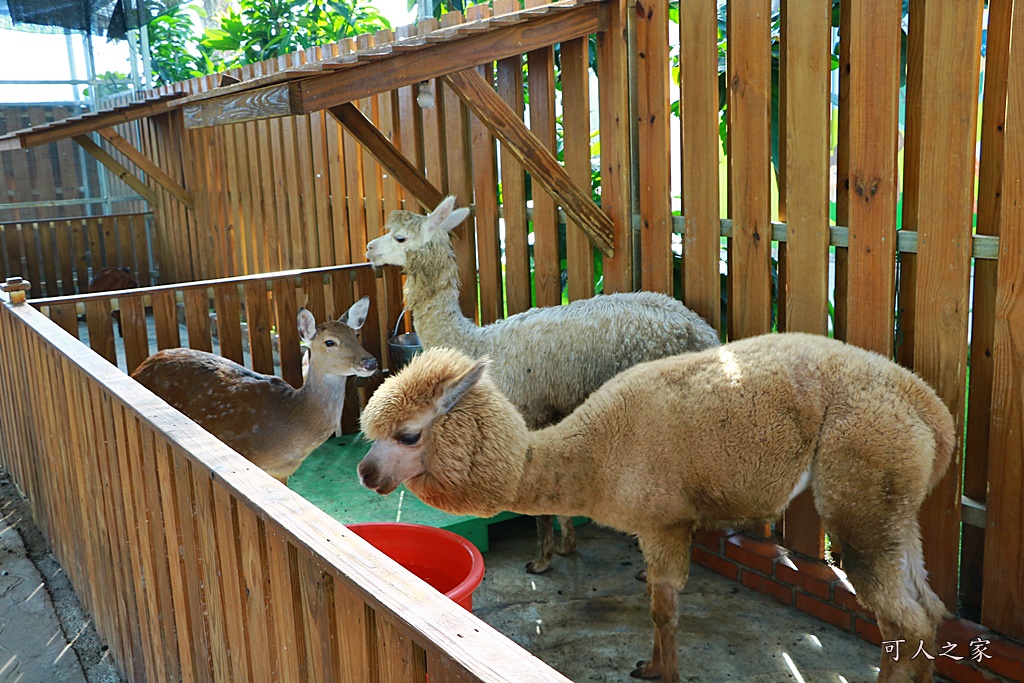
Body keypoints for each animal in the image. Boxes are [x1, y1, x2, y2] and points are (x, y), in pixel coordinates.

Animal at [356, 335, 954, 683]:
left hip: (864, 480)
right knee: (928, 612)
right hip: (897, 504)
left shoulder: (664, 519)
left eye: (408, 434)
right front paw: (650, 665)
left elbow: (664, 608)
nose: (365, 473)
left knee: (902, 620)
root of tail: (933, 410)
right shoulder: (654, 524)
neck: (591, 456)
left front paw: (661, 672)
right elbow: (656, 606)